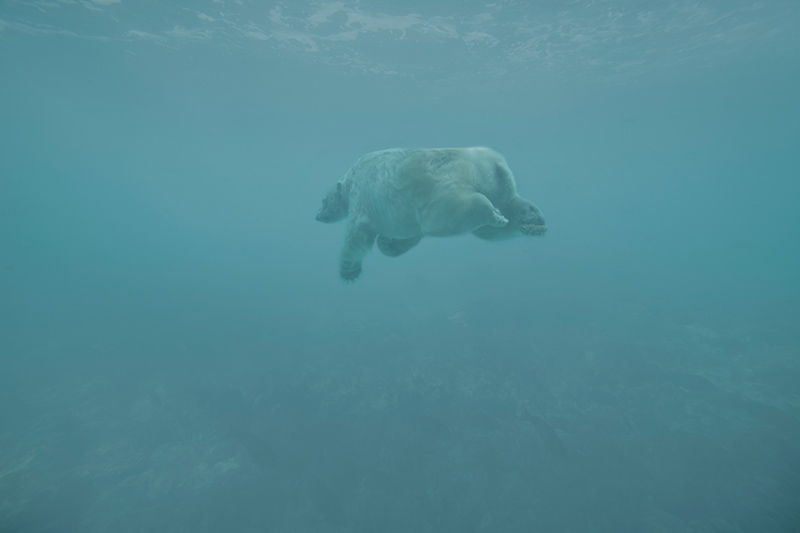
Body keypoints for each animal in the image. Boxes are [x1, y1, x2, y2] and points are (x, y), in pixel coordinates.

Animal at [316, 143, 548, 280]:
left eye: (322, 200)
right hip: (499, 184)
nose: (317, 216)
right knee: (502, 216)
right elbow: (407, 235)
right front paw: (388, 244)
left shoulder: (360, 198)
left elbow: (356, 234)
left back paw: (493, 214)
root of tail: (487, 162)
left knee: (449, 215)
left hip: (436, 186)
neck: (349, 180)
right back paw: (533, 222)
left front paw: (349, 271)